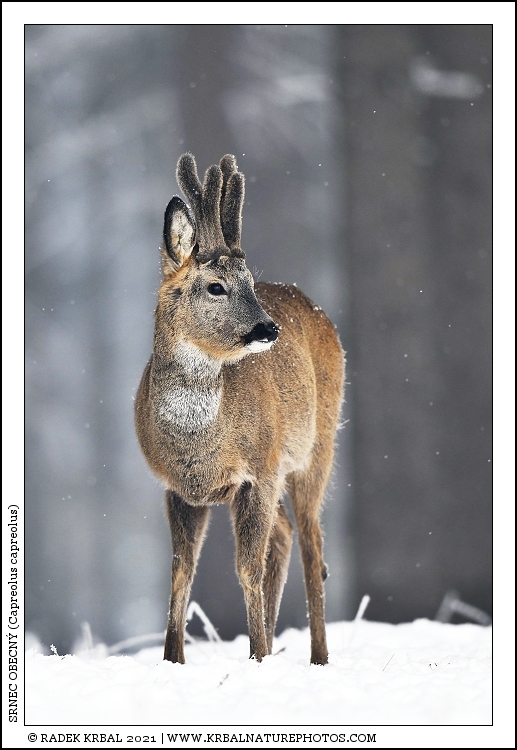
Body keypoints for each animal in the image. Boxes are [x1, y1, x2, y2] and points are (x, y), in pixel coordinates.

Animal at [135, 153, 344, 665]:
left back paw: (317, 657)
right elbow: (181, 572)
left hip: (317, 448)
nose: (268, 329)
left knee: (312, 546)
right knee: (285, 534)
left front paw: (258, 657)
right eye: (215, 287)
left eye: (248, 283)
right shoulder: (178, 487)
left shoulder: (259, 470)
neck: (200, 443)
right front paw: (173, 659)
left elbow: (246, 568)